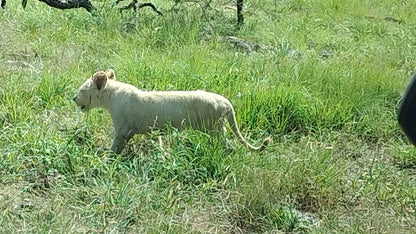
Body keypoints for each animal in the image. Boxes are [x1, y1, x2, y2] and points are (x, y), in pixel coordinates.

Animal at [73, 69, 272, 154]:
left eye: (82, 90)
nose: (73, 98)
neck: (110, 96)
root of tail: (226, 101)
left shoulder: (122, 131)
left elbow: (115, 148)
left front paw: (107, 160)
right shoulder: (150, 130)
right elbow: (157, 143)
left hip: (215, 129)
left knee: (229, 145)